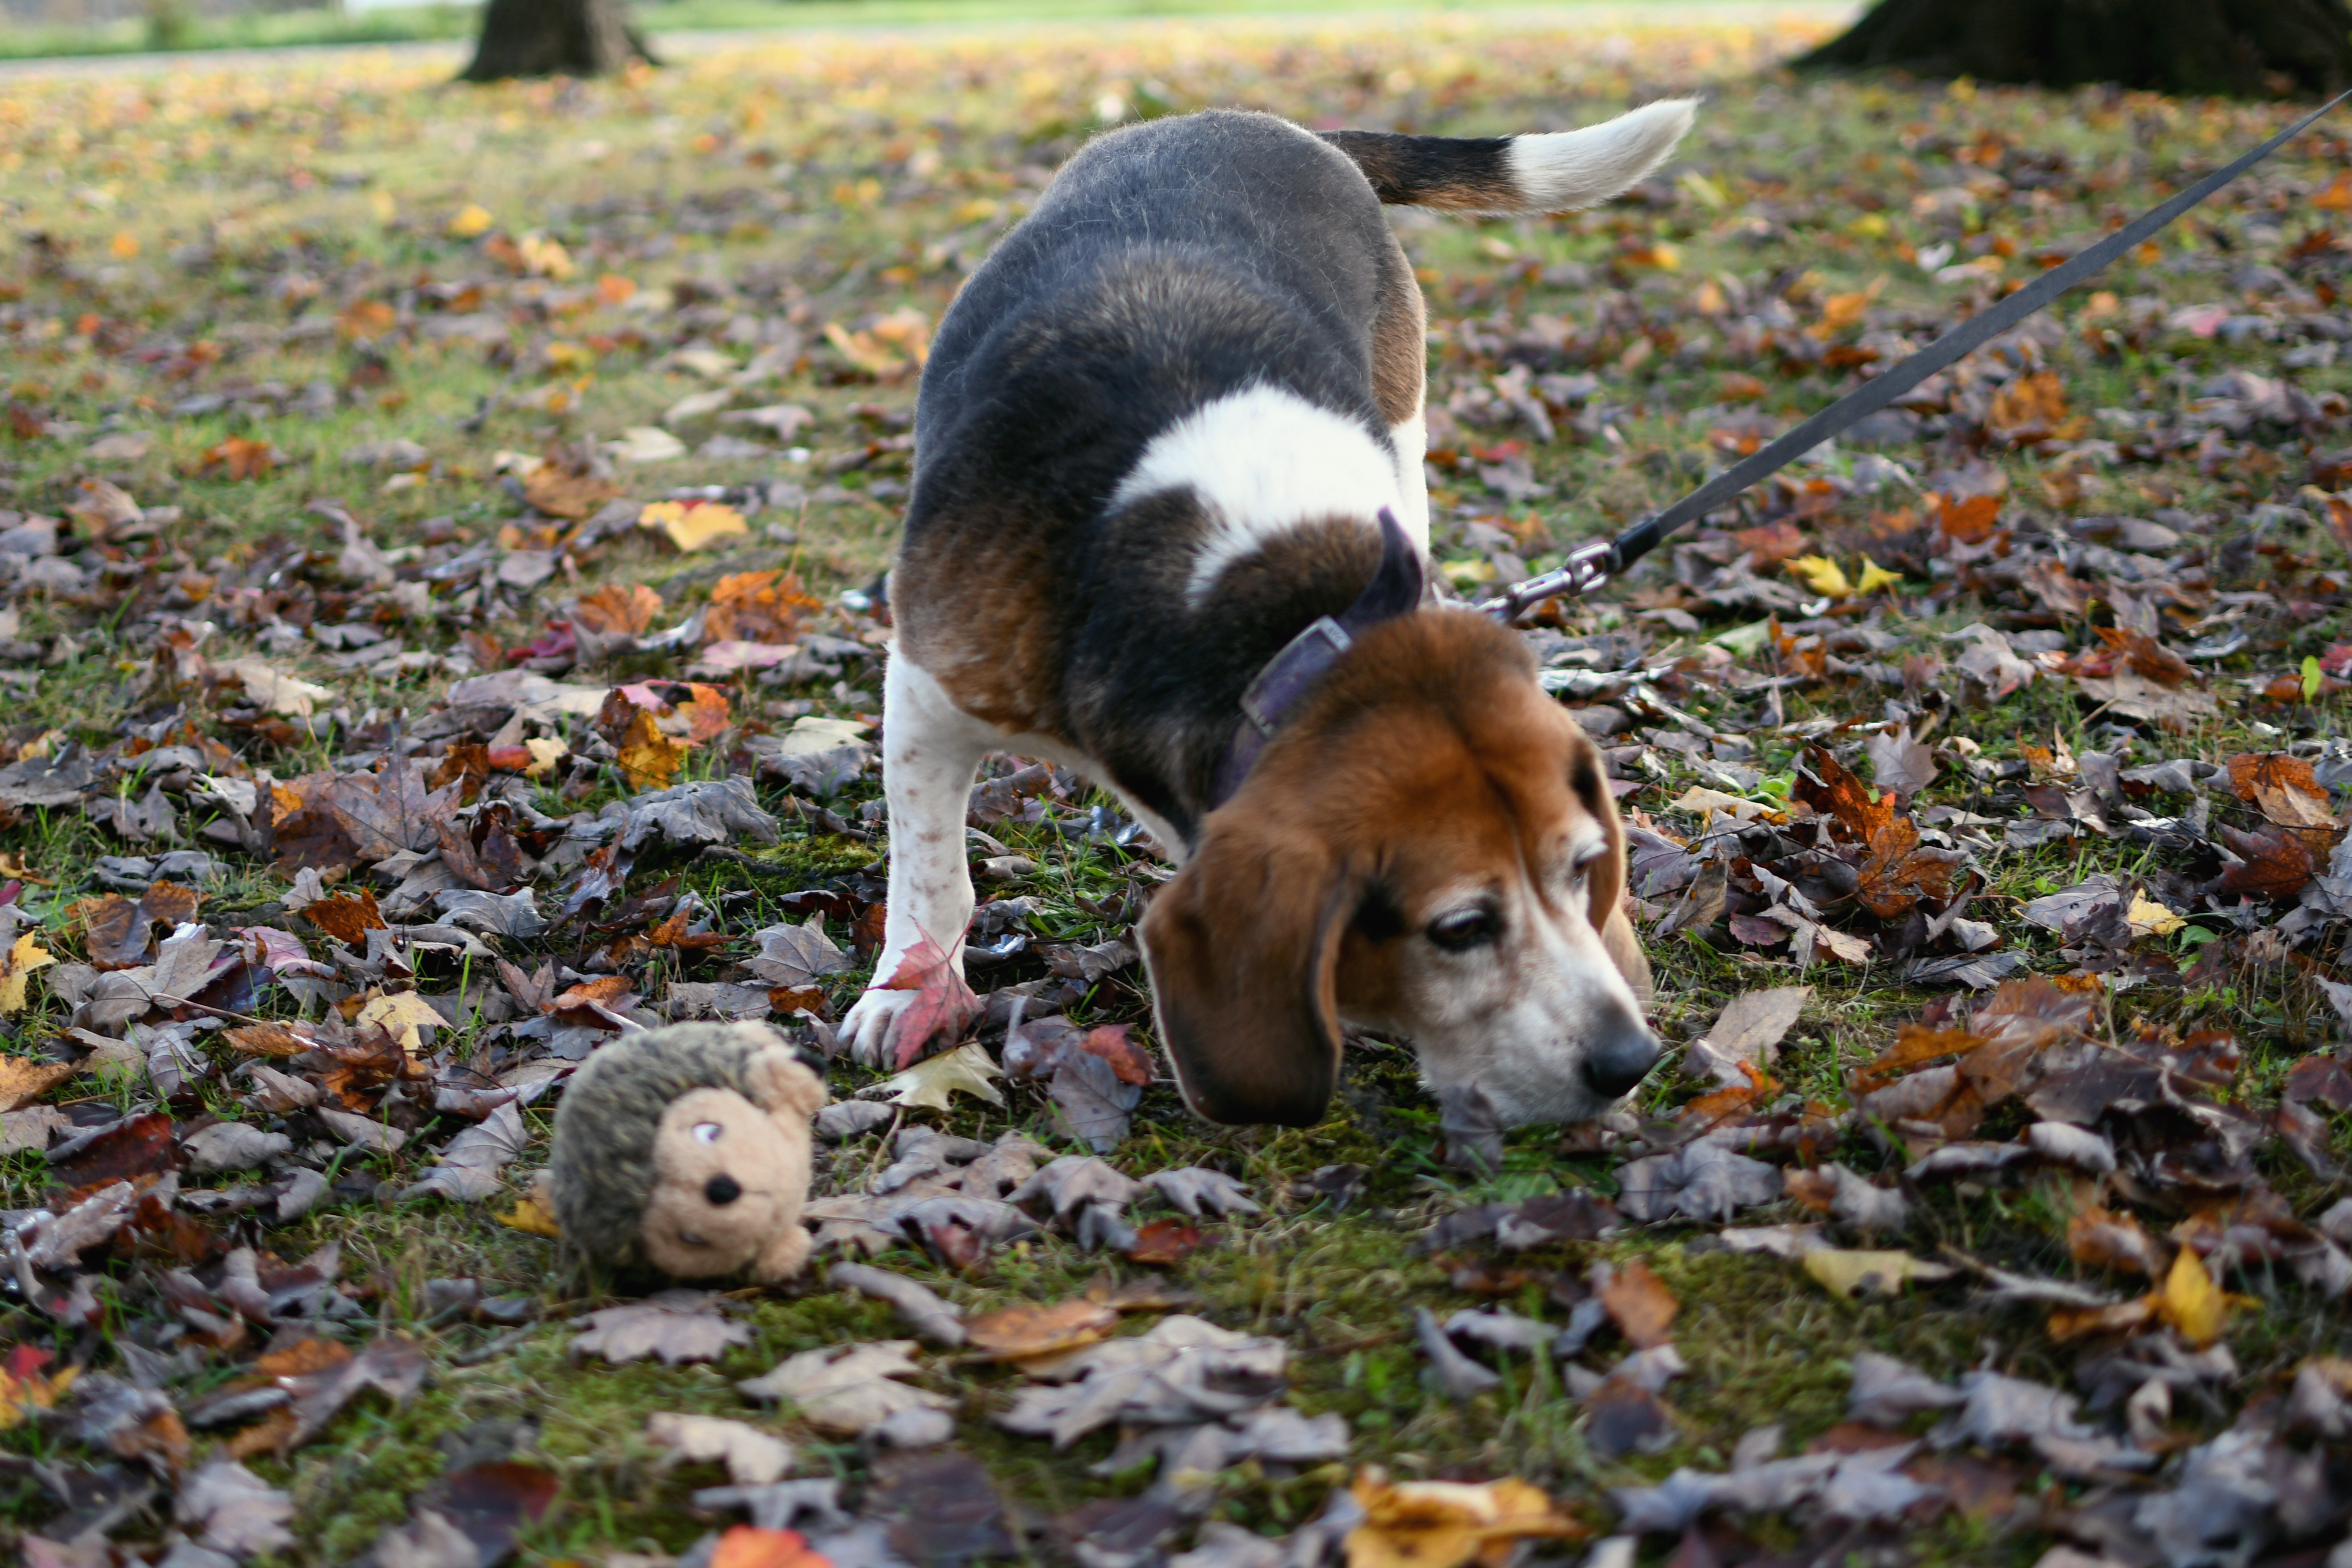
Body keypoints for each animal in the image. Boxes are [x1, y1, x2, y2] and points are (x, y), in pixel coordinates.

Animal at [847, 101, 1693, 1128]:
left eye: (1581, 867)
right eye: (1458, 927)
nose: (1630, 1060)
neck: (1277, 609)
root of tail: (1263, 120)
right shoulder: (925, 690)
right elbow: (933, 876)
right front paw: (912, 995)